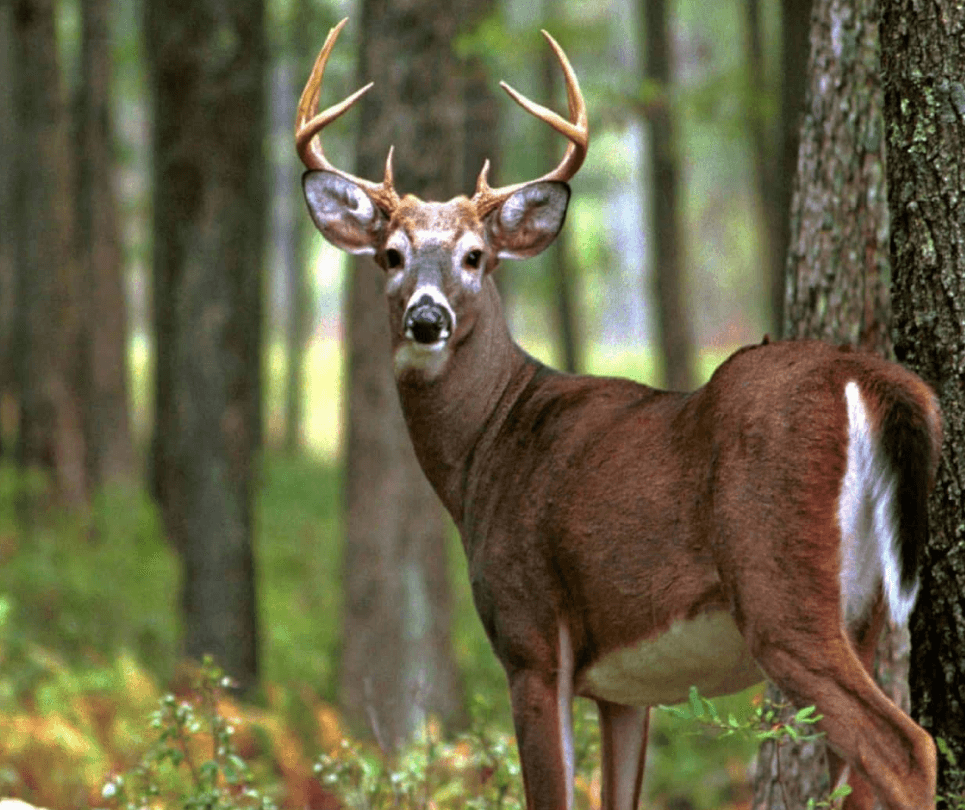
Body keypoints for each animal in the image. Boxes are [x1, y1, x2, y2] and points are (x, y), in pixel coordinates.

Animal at [296, 19, 940, 810]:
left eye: (475, 256)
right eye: (391, 255)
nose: (426, 318)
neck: (487, 448)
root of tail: (871, 378)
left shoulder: (530, 635)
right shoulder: (623, 689)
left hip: (781, 587)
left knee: (904, 747)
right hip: (867, 611)